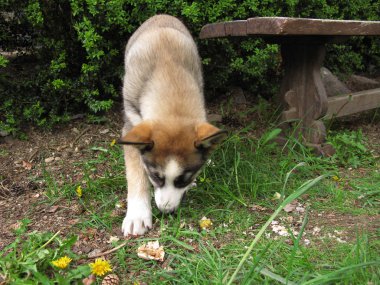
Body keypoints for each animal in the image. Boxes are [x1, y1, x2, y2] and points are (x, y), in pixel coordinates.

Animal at [119, 14, 226, 234]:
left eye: (184, 179)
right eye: (155, 177)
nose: (166, 211)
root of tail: (160, 15)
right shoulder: (131, 126)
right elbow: (135, 173)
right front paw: (137, 215)